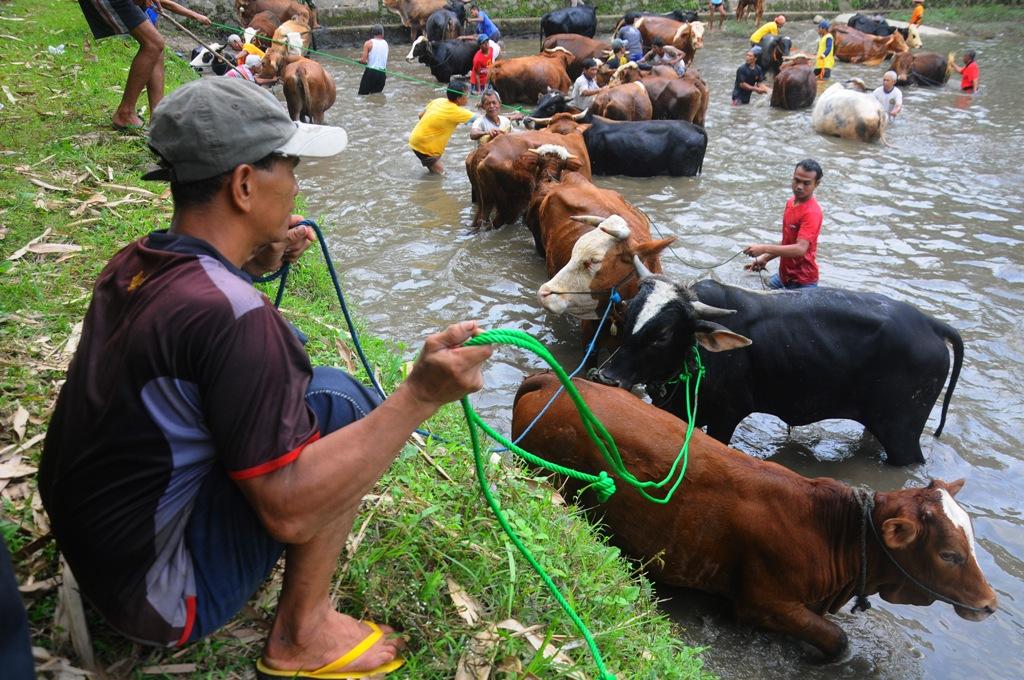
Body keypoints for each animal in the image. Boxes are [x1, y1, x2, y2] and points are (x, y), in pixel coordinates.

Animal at [516, 372, 995, 659]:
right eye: (950, 554)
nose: (990, 604)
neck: (830, 530)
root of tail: (553, 378)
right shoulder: (762, 602)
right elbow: (838, 641)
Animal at [598, 262, 962, 464]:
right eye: (629, 316)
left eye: (662, 334)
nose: (606, 376)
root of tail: (930, 324)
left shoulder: (727, 416)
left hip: (902, 434)